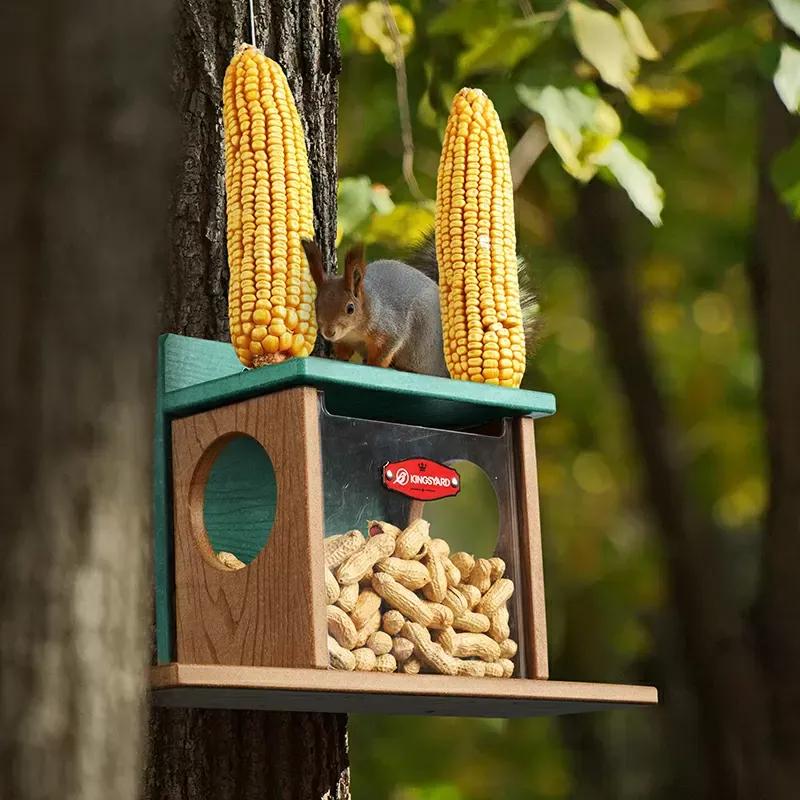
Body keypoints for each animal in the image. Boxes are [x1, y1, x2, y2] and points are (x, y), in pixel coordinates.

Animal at [301, 232, 542, 379]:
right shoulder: (346, 340)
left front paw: (373, 365)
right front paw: (335, 357)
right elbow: (343, 351)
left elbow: (386, 350)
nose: (329, 332)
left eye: (350, 308)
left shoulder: (390, 327)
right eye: (316, 305)